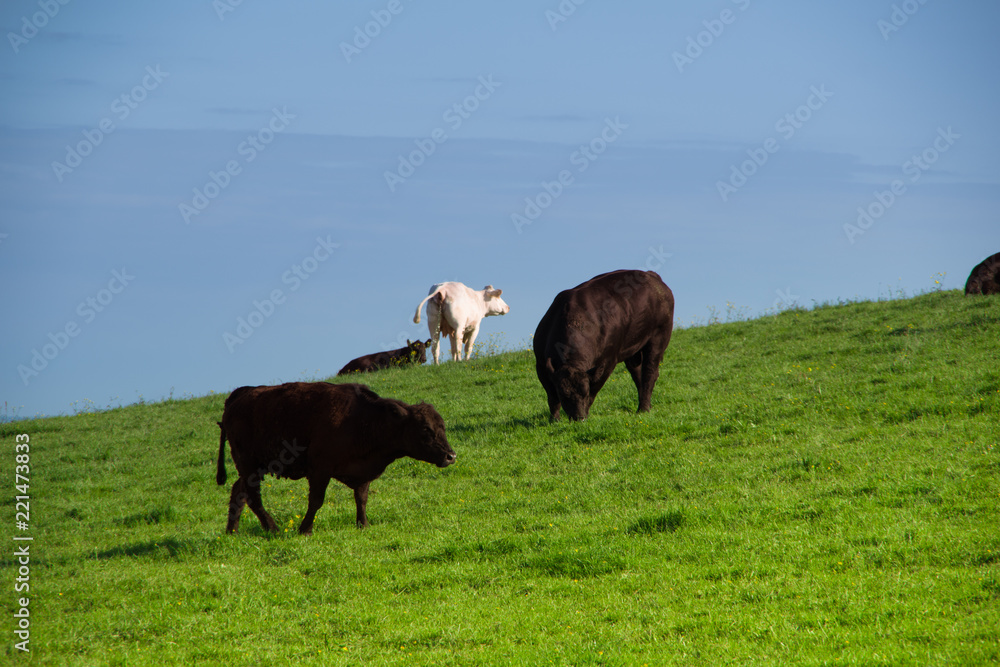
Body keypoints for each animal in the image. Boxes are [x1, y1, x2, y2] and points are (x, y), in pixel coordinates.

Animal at [219, 384, 458, 536]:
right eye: (426, 429)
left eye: (442, 427)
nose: (451, 456)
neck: (364, 420)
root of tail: (240, 395)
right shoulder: (319, 470)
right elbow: (316, 501)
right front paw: (305, 530)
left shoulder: (362, 472)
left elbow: (361, 499)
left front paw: (363, 525)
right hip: (248, 464)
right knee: (252, 496)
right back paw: (273, 528)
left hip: (253, 467)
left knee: (239, 491)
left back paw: (232, 531)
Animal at [536, 268, 676, 420]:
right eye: (564, 394)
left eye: (584, 392)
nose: (579, 418)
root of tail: (651, 275)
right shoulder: (541, 365)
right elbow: (552, 397)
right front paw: (554, 420)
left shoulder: (608, 362)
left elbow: (594, 390)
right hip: (633, 350)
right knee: (638, 374)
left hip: (658, 338)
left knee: (649, 373)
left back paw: (644, 409)